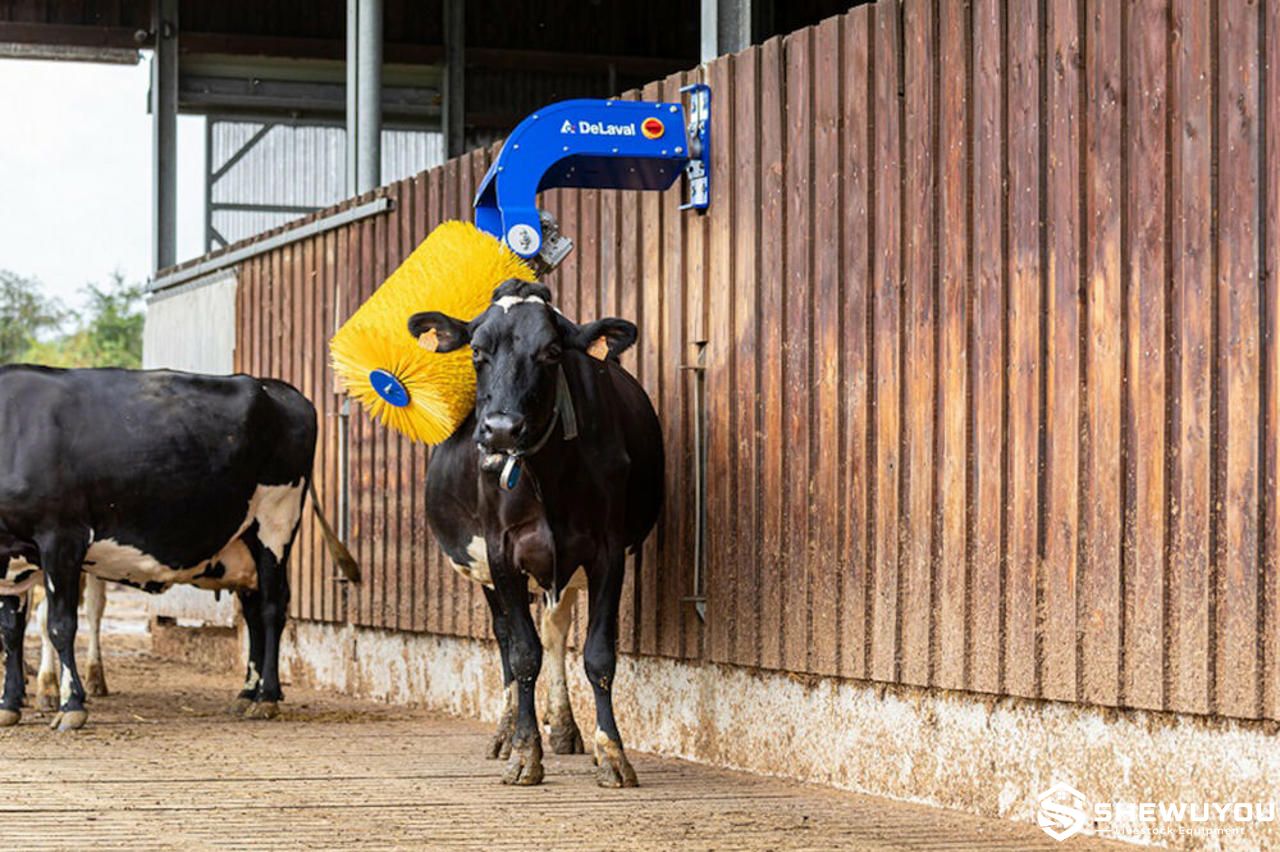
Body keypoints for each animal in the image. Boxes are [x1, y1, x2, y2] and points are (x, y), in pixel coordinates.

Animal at [0, 366, 357, 730]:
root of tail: (277, 388)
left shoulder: (62, 538)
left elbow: (60, 624)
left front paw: (71, 705)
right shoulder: (9, 558)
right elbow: (11, 631)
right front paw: (9, 705)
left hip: (276, 520)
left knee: (273, 607)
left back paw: (267, 697)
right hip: (244, 541)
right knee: (254, 611)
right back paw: (247, 693)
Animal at [408, 279, 663, 787]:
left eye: (551, 352)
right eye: (476, 352)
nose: (501, 430)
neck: (549, 475)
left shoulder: (607, 551)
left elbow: (598, 654)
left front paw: (612, 753)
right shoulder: (502, 552)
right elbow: (524, 654)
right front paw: (526, 752)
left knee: (555, 629)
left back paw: (563, 726)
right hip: (489, 569)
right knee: (508, 638)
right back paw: (508, 732)